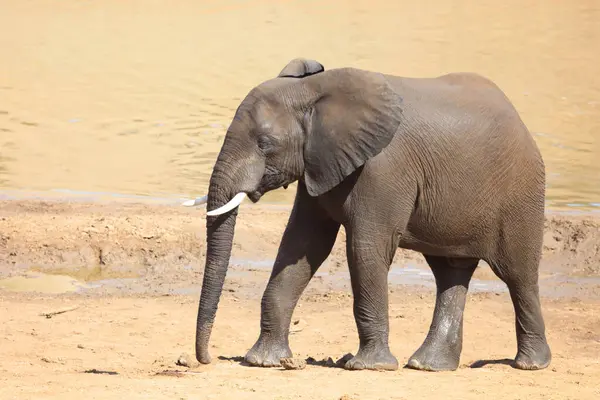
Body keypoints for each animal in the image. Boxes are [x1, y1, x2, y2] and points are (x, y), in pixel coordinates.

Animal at [184, 57, 552, 372]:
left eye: (264, 143)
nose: (206, 359)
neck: (314, 92)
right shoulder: (318, 163)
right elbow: (302, 245)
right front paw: (264, 361)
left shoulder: (383, 168)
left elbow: (365, 247)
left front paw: (368, 366)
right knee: (450, 272)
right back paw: (428, 366)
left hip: (521, 194)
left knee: (518, 275)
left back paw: (530, 364)